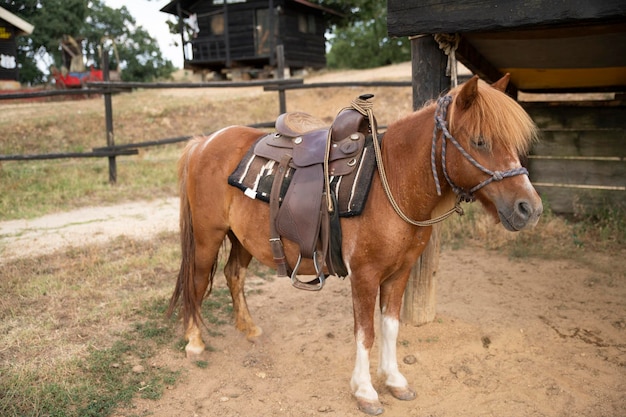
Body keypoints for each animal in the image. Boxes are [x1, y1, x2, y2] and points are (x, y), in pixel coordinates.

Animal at [167, 74, 540, 412]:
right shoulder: (365, 275)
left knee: (234, 274)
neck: (392, 184)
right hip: (208, 237)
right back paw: (195, 342)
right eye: (480, 141)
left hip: (241, 238)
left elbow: (390, 328)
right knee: (196, 282)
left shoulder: (399, 273)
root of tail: (203, 142)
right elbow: (366, 333)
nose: (530, 208)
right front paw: (365, 391)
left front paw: (394, 380)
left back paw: (249, 328)